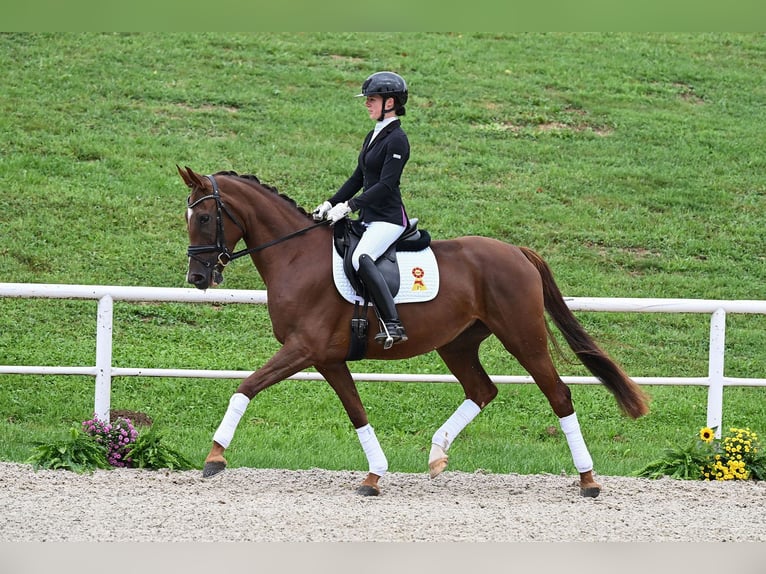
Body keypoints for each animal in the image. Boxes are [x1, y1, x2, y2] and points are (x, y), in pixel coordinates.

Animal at [180, 168, 648, 500]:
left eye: (203, 216)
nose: (198, 277)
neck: (295, 256)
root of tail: (517, 251)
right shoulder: (327, 358)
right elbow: (356, 412)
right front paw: (373, 476)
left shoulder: (303, 349)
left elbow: (245, 387)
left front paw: (215, 456)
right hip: (458, 344)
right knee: (482, 390)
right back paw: (437, 456)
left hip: (523, 337)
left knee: (559, 395)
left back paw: (588, 481)